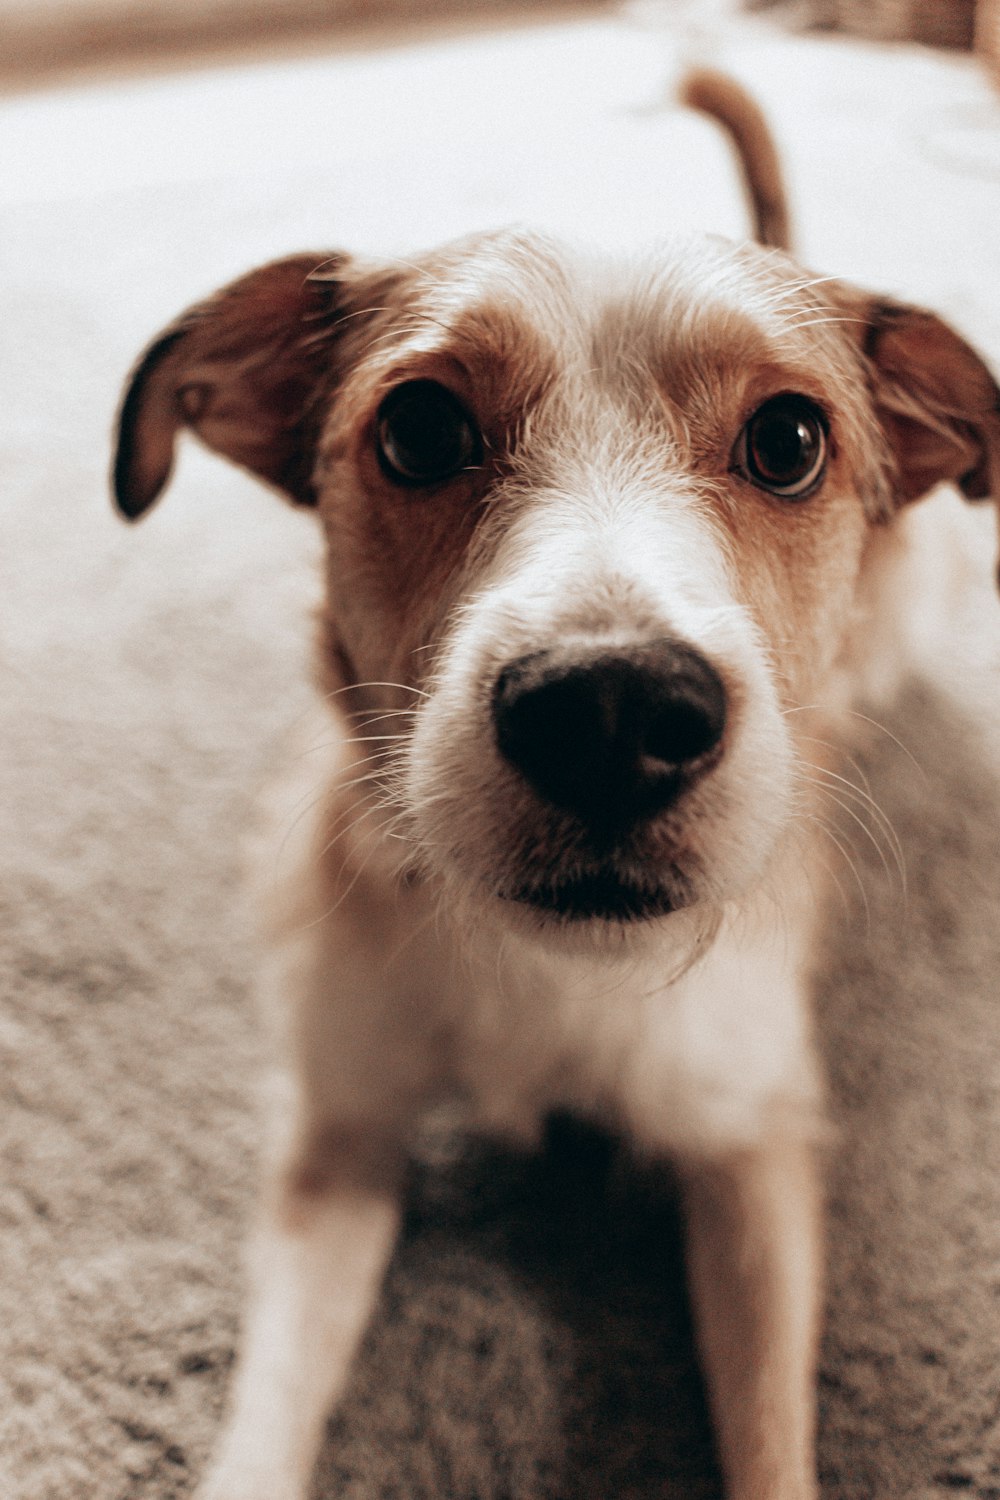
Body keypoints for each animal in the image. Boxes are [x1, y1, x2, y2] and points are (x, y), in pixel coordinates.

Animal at [111, 70, 1000, 1500]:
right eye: (419, 428)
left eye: (789, 439)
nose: (610, 715)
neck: (549, 975)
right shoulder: (337, 1142)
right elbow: (261, 1423)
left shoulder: (753, 1149)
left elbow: (769, 1438)